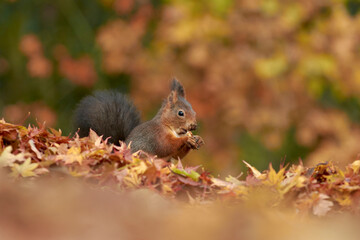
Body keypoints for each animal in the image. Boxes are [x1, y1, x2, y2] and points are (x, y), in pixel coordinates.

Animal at [74, 79, 202, 160]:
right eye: (181, 113)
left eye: (194, 111)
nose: (194, 125)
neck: (168, 127)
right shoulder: (156, 136)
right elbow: (166, 146)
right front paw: (187, 139)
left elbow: (177, 156)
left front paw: (198, 139)